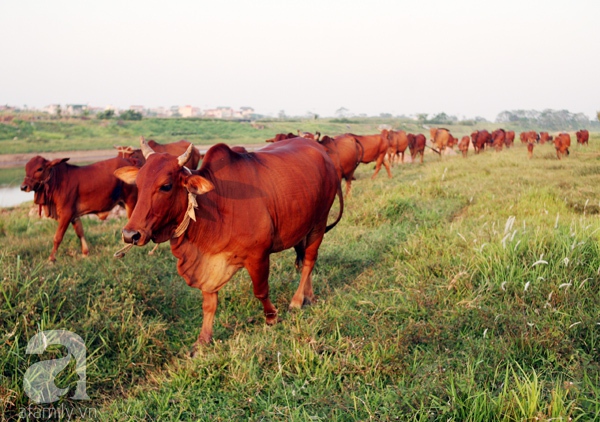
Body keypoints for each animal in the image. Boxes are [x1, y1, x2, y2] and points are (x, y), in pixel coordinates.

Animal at [115, 138, 342, 352]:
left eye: (166, 186)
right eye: (138, 184)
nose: (130, 234)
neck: (215, 205)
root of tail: (321, 150)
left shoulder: (258, 256)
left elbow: (261, 291)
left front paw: (271, 317)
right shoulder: (207, 263)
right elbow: (209, 304)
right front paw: (203, 341)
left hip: (319, 222)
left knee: (309, 260)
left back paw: (296, 300)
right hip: (301, 227)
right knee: (304, 259)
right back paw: (308, 296)